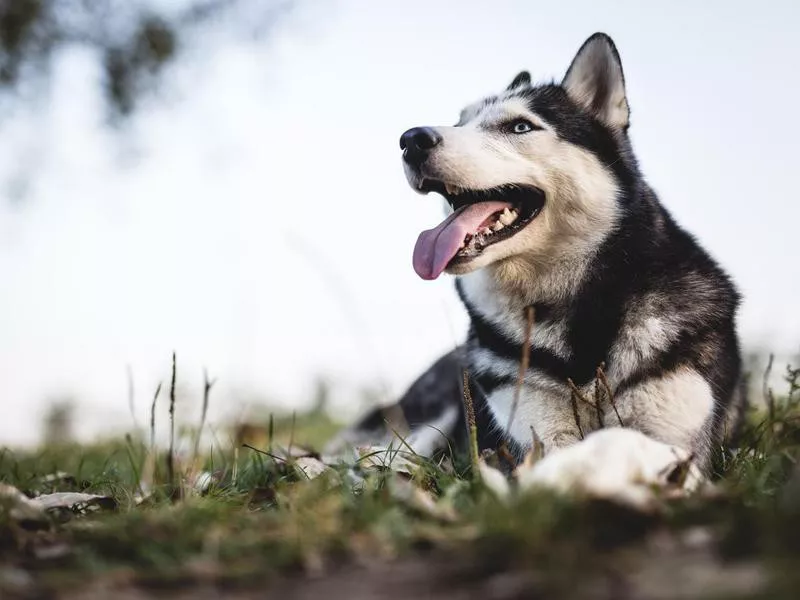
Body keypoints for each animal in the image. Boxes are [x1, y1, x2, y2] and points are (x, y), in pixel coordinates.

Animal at [328, 32, 748, 476]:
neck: (579, 310)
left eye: (519, 126)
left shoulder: (678, 435)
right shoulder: (535, 434)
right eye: (461, 122)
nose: (411, 139)